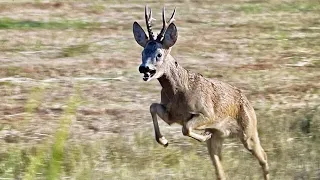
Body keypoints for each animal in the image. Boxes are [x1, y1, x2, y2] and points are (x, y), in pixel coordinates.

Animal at [132, 5, 270, 180]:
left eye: (159, 54)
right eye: (143, 53)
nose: (144, 68)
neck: (179, 92)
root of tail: (247, 102)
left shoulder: (207, 113)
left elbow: (186, 128)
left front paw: (202, 136)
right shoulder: (171, 114)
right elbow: (152, 107)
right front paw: (164, 141)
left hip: (249, 131)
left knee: (263, 156)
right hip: (220, 138)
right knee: (220, 169)